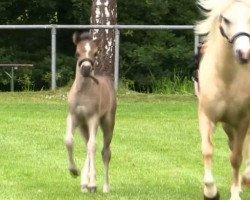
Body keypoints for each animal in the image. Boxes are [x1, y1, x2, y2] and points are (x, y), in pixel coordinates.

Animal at [65, 32, 116, 193]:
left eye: (95, 53)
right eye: (77, 53)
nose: (86, 69)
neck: (83, 92)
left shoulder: (93, 118)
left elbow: (93, 146)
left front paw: (93, 184)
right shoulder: (73, 117)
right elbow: (69, 140)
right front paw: (74, 171)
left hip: (108, 122)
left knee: (105, 152)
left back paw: (105, 187)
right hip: (83, 126)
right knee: (88, 145)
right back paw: (84, 183)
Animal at [195, 0, 250, 199]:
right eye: (226, 19)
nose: (244, 53)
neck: (227, 79)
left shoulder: (243, 121)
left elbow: (236, 157)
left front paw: (235, 194)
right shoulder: (206, 116)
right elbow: (207, 150)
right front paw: (211, 191)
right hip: (227, 126)